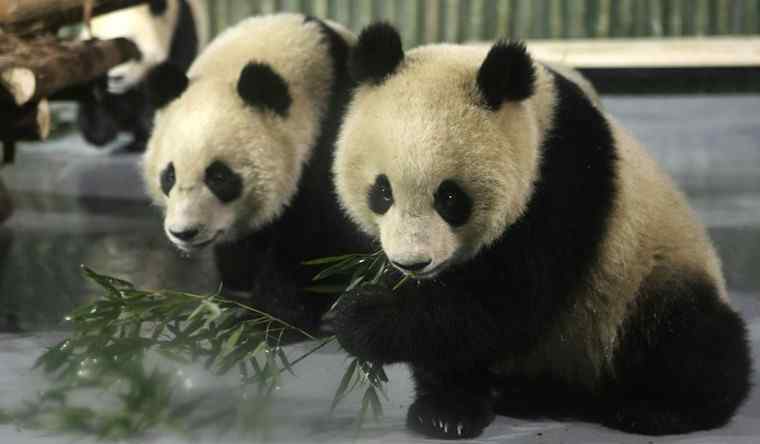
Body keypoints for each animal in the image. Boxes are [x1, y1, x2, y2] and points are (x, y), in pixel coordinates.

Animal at [143, 13, 368, 336]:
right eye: (169, 176)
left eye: (219, 177)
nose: (184, 232)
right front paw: (237, 291)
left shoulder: (327, 146)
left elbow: (310, 244)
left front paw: (274, 315)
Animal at [330, 23, 752, 438]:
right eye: (382, 192)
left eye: (450, 197)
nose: (413, 263)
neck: (537, 121)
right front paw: (446, 407)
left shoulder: (563, 182)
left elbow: (507, 302)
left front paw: (356, 317)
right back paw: (496, 400)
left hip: (645, 278)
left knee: (687, 340)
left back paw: (659, 410)